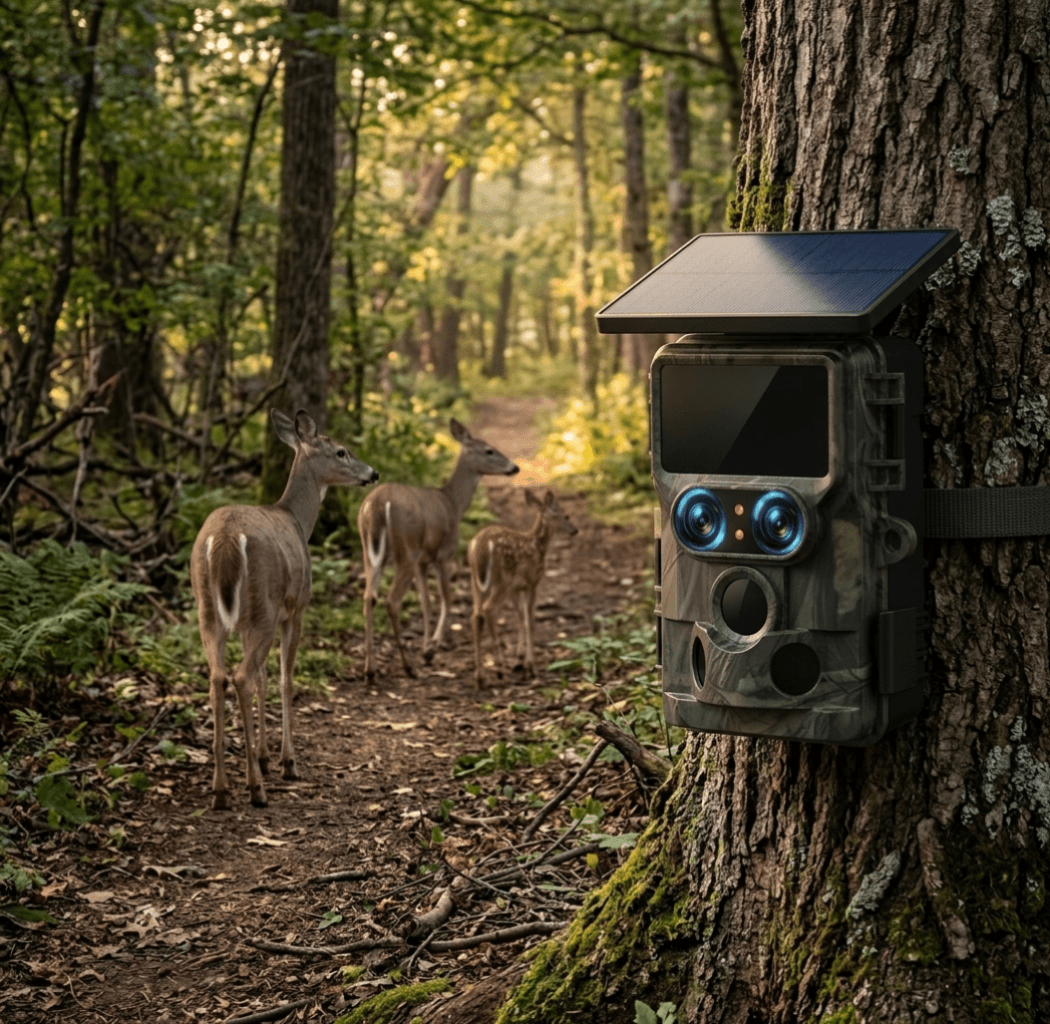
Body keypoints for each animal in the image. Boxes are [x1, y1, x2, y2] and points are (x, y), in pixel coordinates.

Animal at [190, 409, 378, 810]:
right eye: (342, 451)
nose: (373, 473)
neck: (296, 519)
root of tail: (224, 541)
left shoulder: (252, 621)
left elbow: (263, 677)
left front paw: (262, 755)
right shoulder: (295, 608)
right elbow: (282, 678)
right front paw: (286, 761)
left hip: (209, 611)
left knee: (218, 677)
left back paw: (221, 789)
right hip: (262, 603)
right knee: (241, 676)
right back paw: (255, 788)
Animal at [357, 418, 519, 681]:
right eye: (489, 450)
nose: (514, 468)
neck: (453, 504)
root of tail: (378, 505)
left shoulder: (423, 560)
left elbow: (426, 601)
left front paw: (426, 647)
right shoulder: (443, 554)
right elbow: (447, 597)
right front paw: (431, 648)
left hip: (370, 551)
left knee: (369, 597)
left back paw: (370, 669)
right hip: (406, 548)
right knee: (391, 601)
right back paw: (407, 666)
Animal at [468, 488, 578, 688]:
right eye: (566, 515)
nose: (575, 530)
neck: (538, 545)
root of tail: (481, 546)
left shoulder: (516, 588)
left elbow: (519, 616)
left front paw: (519, 660)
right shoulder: (532, 582)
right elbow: (529, 621)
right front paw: (530, 666)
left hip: (475, 580)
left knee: (476, 616)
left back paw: (480, 677)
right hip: (501, 580)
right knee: (489, 610)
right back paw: (500, 669)